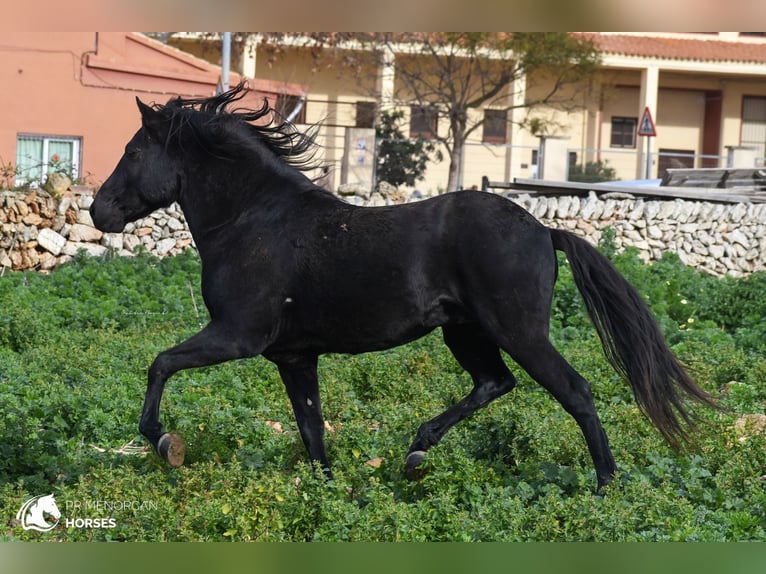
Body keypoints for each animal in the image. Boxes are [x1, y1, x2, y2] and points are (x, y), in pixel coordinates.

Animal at [91, 84, 720, 490]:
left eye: (133, 151)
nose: (99, 211)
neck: (253, 219)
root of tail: (544, 231)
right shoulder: (293, 356)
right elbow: (311, 429)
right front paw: (328, 496)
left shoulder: (237, 335)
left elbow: (160, 363)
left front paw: (163, 442)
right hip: (465, 333)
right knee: (495, 383)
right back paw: (417, 451)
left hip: (518, 331)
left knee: (575, 391)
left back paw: (605, 486)